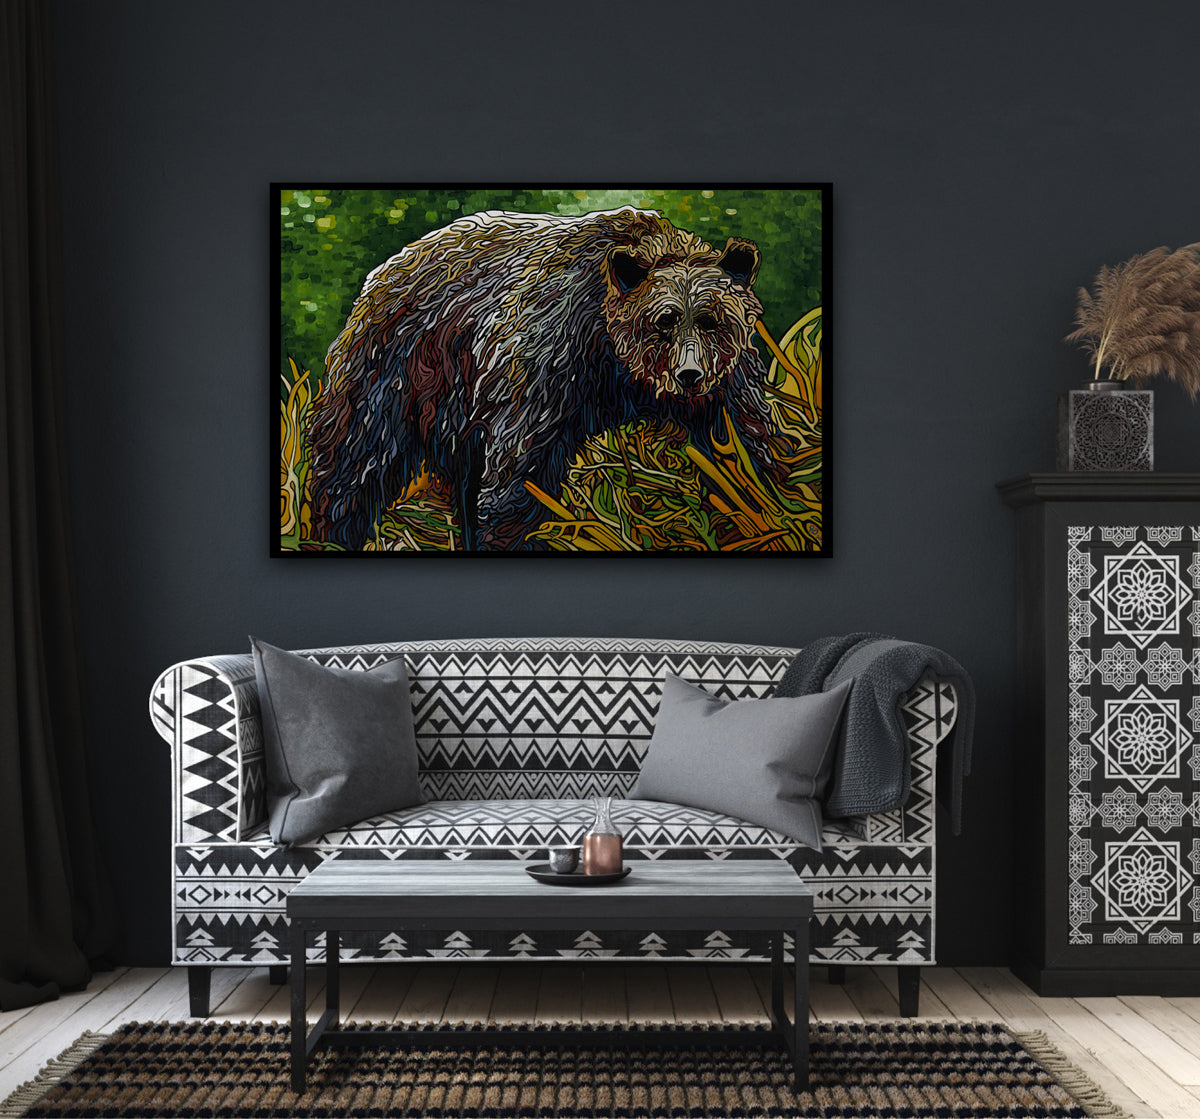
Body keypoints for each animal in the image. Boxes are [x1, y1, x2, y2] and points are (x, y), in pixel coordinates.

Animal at [306, 206, 779, 551]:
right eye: (664, 320)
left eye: (711, 320)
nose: (689, 375)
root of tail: (389, 264)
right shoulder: (549, 363)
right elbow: (522, 472)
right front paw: (512, 535)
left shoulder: (725, 384)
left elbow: (741, 446)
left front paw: (756, 507)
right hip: (400, 369)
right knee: (355, 462)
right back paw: (330, 534)